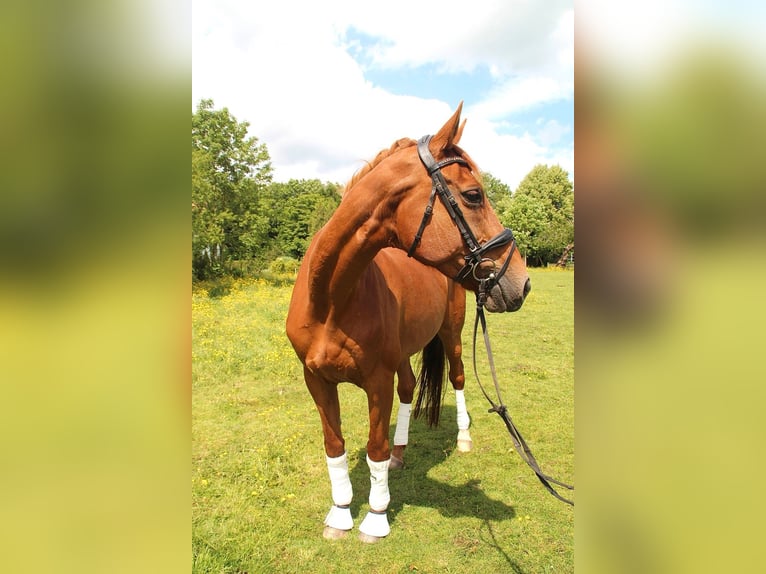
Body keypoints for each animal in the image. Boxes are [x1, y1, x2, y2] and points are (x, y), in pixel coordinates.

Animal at [284, 104, 532, 544]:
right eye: (473, 195)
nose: (521, 281)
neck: (331, 299)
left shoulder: (376, 381)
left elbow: (375, 448)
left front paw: (375, 518)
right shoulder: (316, 379)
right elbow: (335, 446)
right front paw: (340, 514)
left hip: (451, 337)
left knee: (457, 378)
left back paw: (463, 437)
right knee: (410, 387)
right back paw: (402, 454)